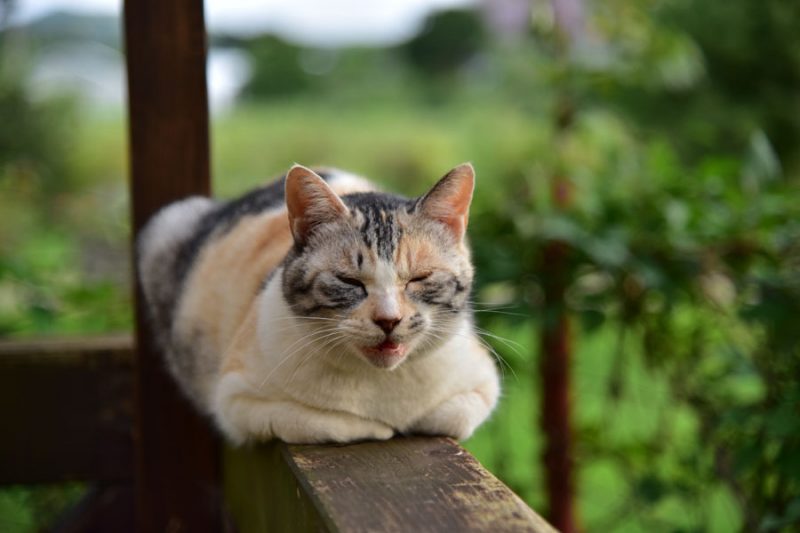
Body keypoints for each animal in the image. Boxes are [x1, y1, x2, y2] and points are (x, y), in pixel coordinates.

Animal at [138, 164, 500, 442]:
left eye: (419, 278)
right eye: (349, 282)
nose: (388, 319)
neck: (381, 384)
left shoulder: (484, 382)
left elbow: (449, 416)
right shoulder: (236, 402)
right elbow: (324, 423)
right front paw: (380, 428)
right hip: (167, 225)